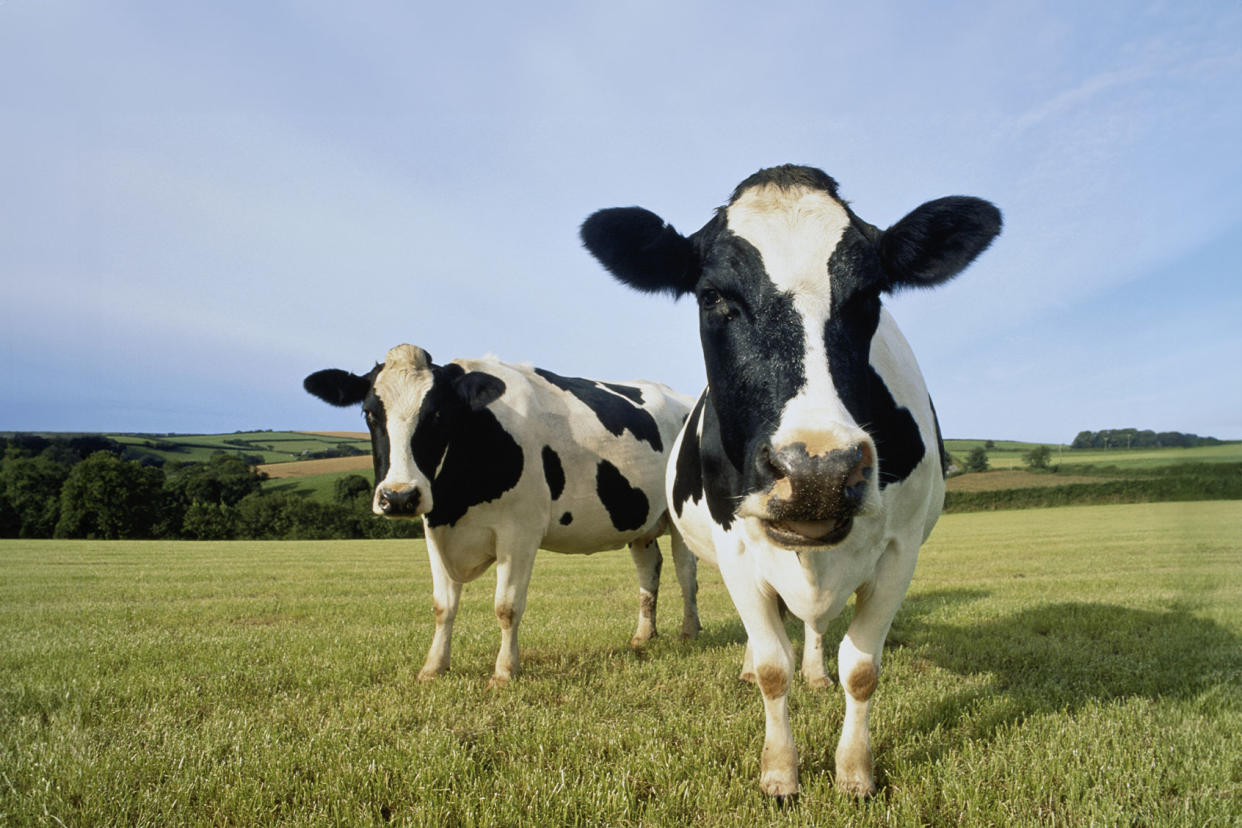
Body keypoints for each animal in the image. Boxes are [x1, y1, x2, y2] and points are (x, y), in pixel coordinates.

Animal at [303, 342, 700, 685]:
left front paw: (505, 671)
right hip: (641, 523)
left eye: (437, 414)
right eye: (370, 413)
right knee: (649, 572)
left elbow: (506, 607)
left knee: (686, 575)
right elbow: (442, 606)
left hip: (680, 520)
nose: (398, 497)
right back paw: (643, 636)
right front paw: (433, 667)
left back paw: (689, 631)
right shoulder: (435, 529)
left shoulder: (520, 532)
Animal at [578, 165, 998, 799]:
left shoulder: (900, 549)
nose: (817, 471)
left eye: (870, 295)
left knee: (817, 625)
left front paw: (854, 772)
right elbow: (774, 669)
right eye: (713, 296)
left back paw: (817, 671)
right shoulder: (735, 545)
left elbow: (862, 669)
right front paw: (779, 772)